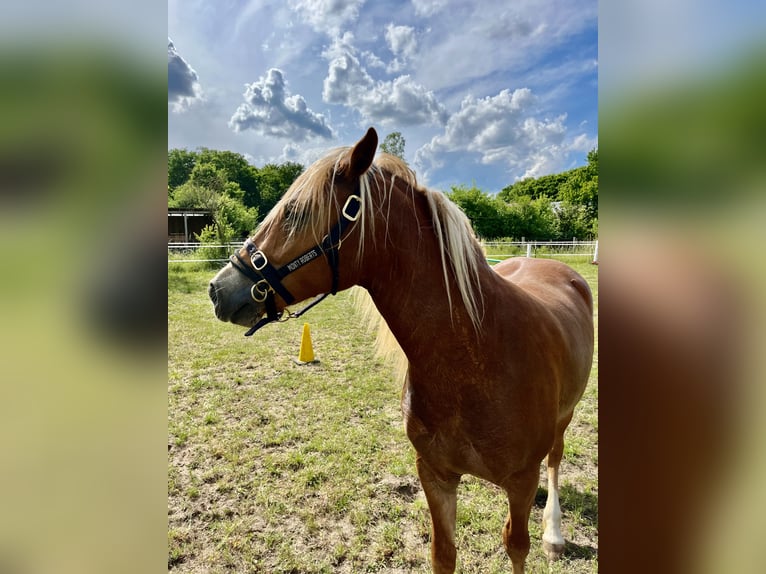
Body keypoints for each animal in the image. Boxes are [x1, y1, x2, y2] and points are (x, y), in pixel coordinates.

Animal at [208, 127, 594, 573]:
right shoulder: (435, 475)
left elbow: (516, 546)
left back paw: (554, 533)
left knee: (556, 460)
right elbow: (443, 553)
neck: (477, 355)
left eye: (296, 213)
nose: (218, 289)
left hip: (565, 419)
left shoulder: (521, 481)